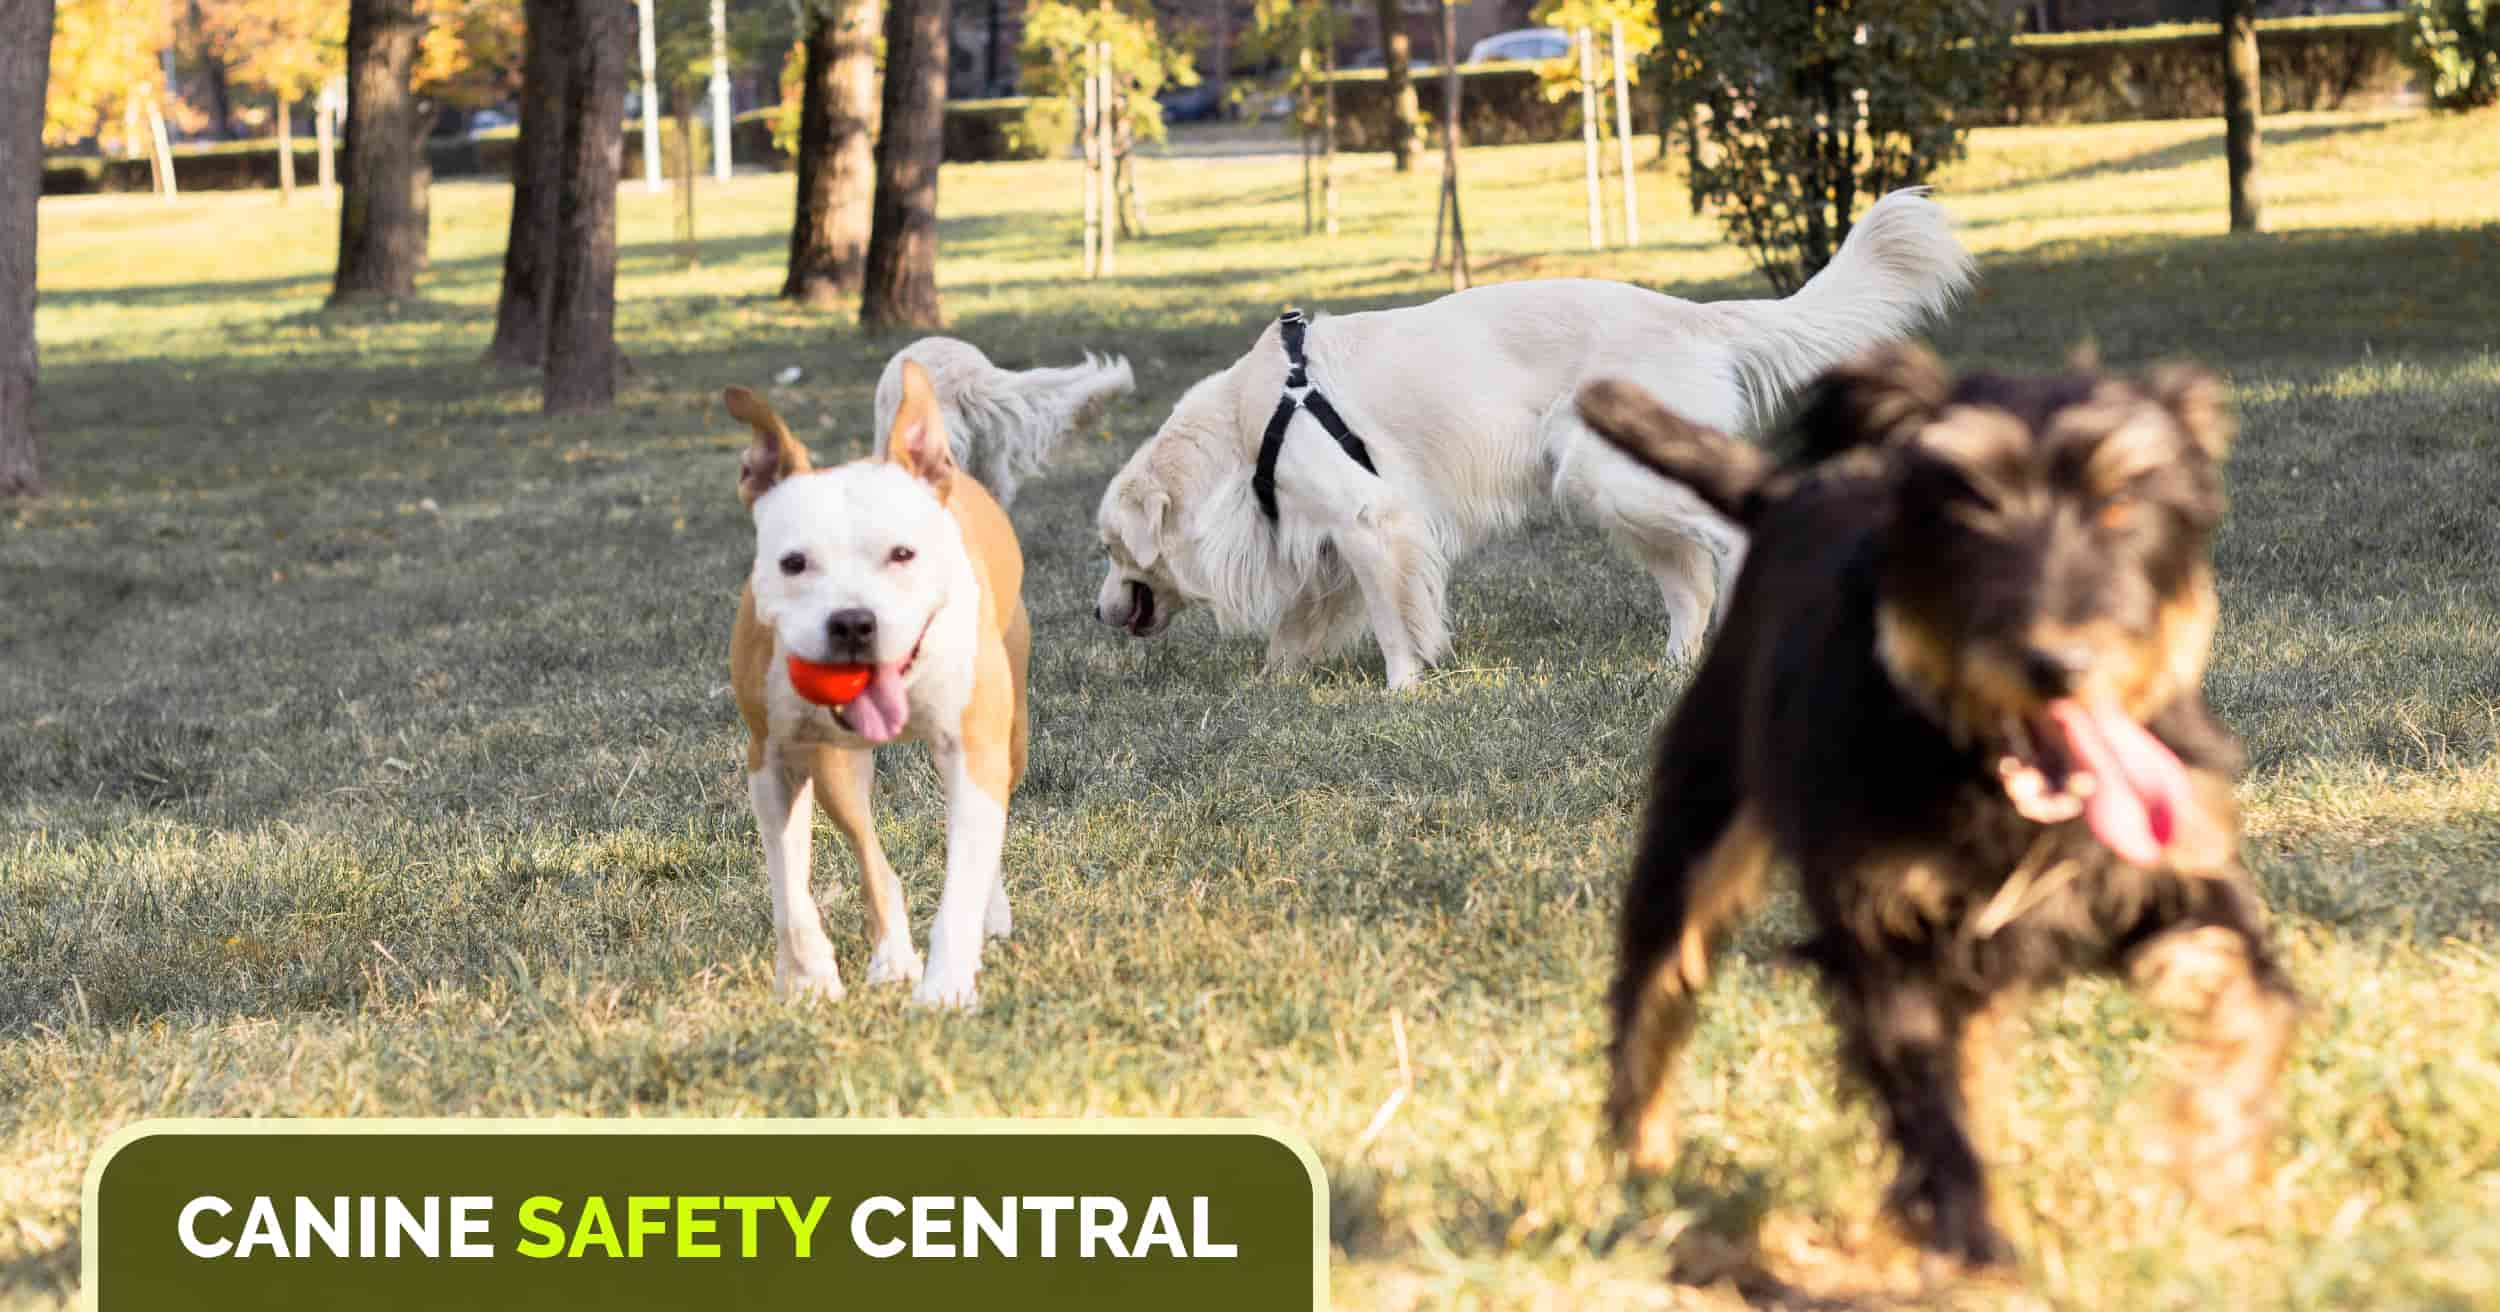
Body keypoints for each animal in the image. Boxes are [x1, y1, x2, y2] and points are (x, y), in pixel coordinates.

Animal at [730, 362, 1030, 1009]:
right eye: (793, 563)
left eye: (902, 554)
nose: (851, 622)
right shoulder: (773, 758)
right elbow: (788, 885)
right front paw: (809, 977)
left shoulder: (974, 747)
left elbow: (963, 877)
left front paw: (946, 988)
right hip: (836, 767)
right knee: (872, 857)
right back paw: (891, 957)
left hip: (1010, 736)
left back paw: (989, 916)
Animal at [1095, 192, 1970, 694]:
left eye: (1110, 548)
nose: (1096, 612)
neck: (1244, 431)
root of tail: (1692, 313)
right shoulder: (1334, 545)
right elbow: (1305, 624)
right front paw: (1272, 684)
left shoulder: (1371, 519)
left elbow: (1392, 621)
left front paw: (1402, 692)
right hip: (1613, 488)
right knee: (1688, 584)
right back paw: (1673, 666)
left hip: (1615, 477)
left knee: (1728, 539)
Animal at [1580, 347, 2300, 1269]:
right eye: (1971, 511)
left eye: (2121, 503)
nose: (2058, 664)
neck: (1996, 782)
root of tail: (1789, 495)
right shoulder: (1886, 932)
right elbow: (1929, 1103)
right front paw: (1975, 1240)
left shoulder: (2183, 872)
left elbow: (2253, 1010)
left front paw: (2210, 1170)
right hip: (1698, 832)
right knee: (1653, 994)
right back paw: (1638, 1166)